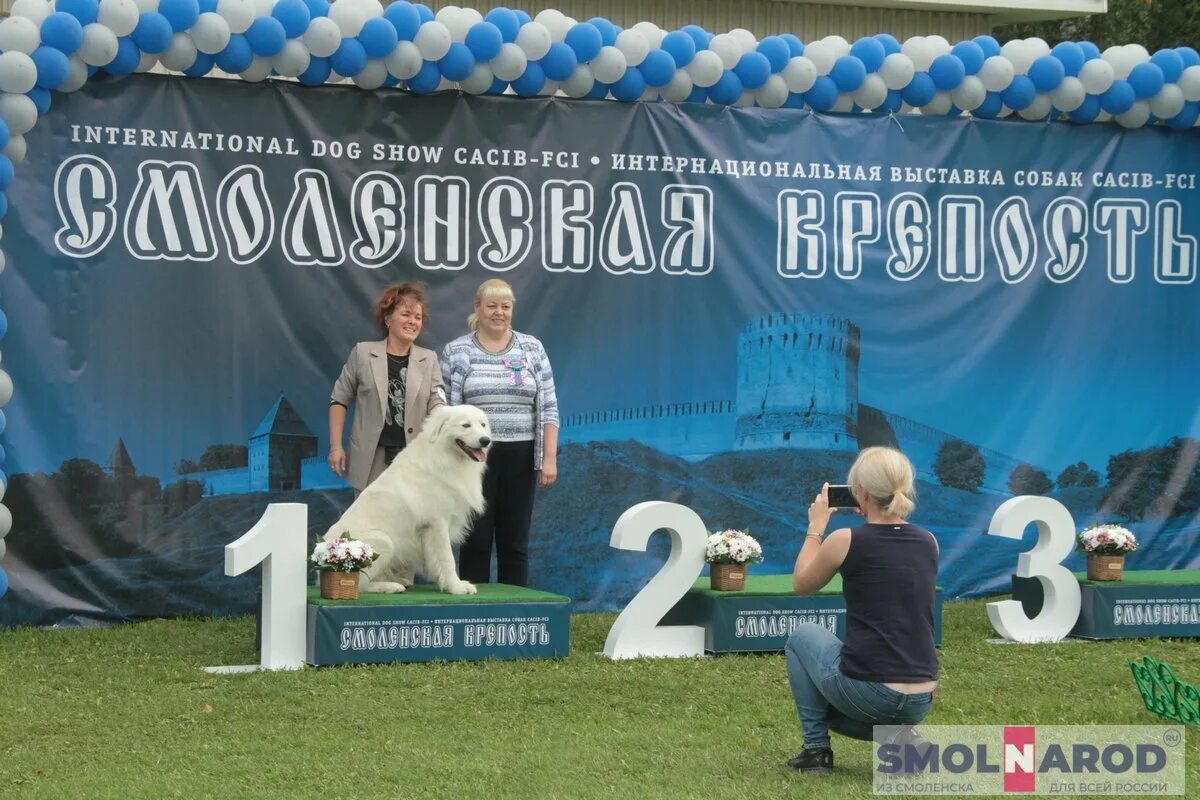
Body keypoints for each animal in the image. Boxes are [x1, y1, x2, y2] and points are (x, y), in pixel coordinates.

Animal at [324, 407, 492, 594]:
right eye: (466, 425)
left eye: (483, 425)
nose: (486, 440)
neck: (443, 455)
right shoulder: (438, 523)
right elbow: (447, 558)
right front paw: (457, 587)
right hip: (383, 542)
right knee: (358, 583)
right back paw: (390, 586)